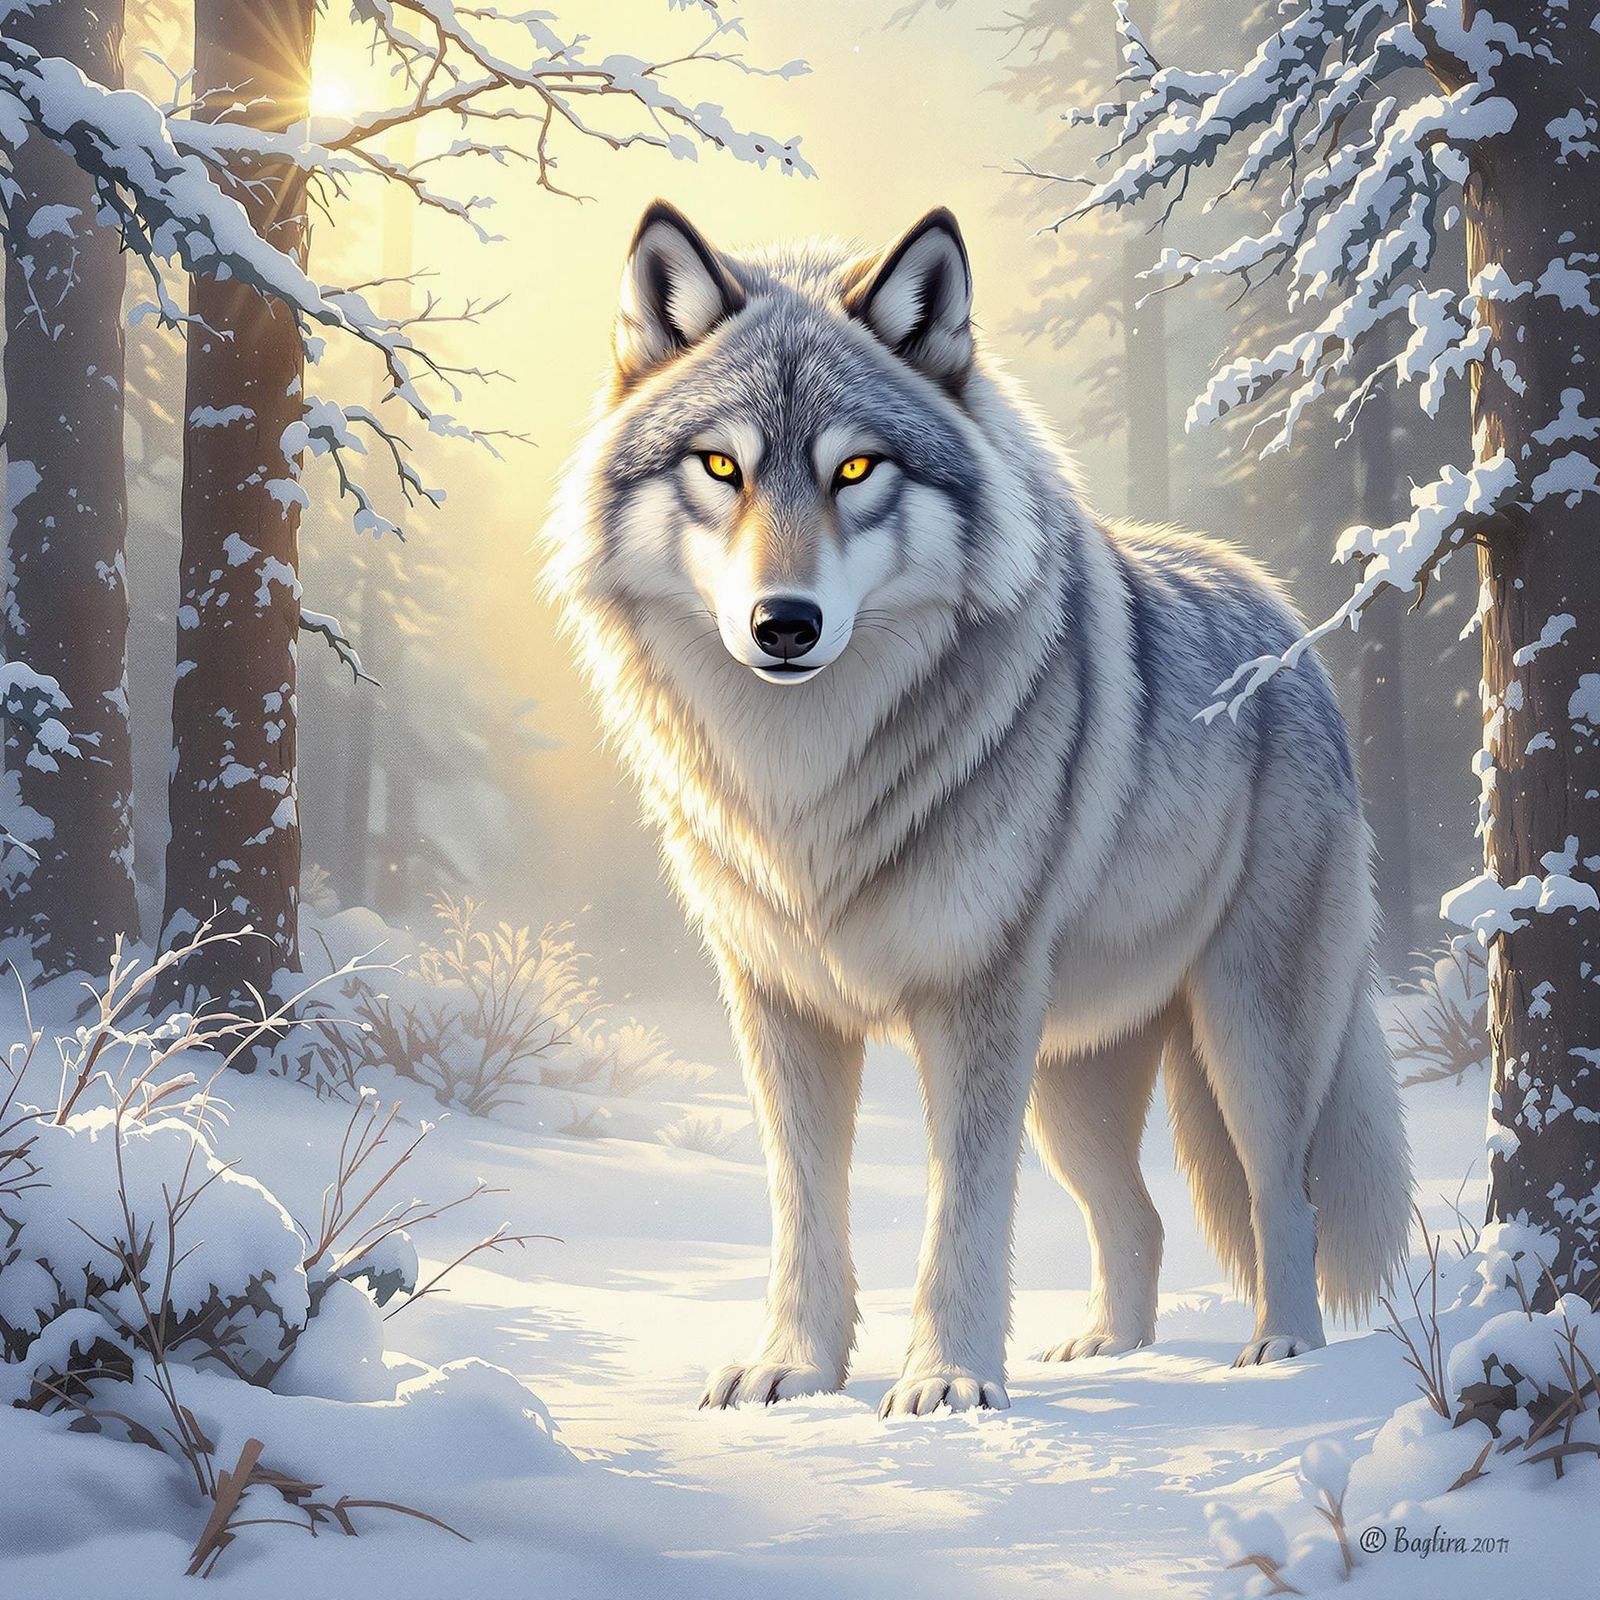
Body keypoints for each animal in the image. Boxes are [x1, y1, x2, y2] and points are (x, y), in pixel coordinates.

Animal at [543, 201, 1412, 1417]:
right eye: (721, 466)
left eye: (857, 468)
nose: (784, 624)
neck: (808, 782)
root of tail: (1283, 617)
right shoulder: (776, 1002)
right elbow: (803, 1205)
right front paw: (791, 1369)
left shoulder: (972, 1000)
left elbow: (962, 1211)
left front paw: (947, 1384)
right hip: (1074, 1077)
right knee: (1138, 1217)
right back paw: (1110, 1352)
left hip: (1243, 1032)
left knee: (1283, 1199)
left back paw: (1281, 1355)